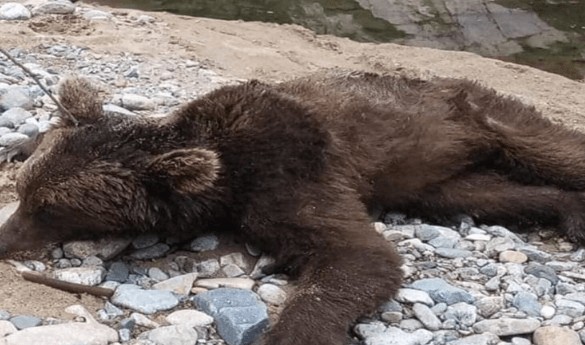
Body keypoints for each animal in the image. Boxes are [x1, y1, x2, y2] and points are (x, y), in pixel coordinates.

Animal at [1, 68, 584, 342]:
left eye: (50, 209)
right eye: (26, 195)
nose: (4, 239)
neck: (226, 173)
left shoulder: (291, 174)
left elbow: (357, 256)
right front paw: (21, 144)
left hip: (481, 111)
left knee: (555, 147)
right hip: (436, 180)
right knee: (492, 193)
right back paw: (566, 210)